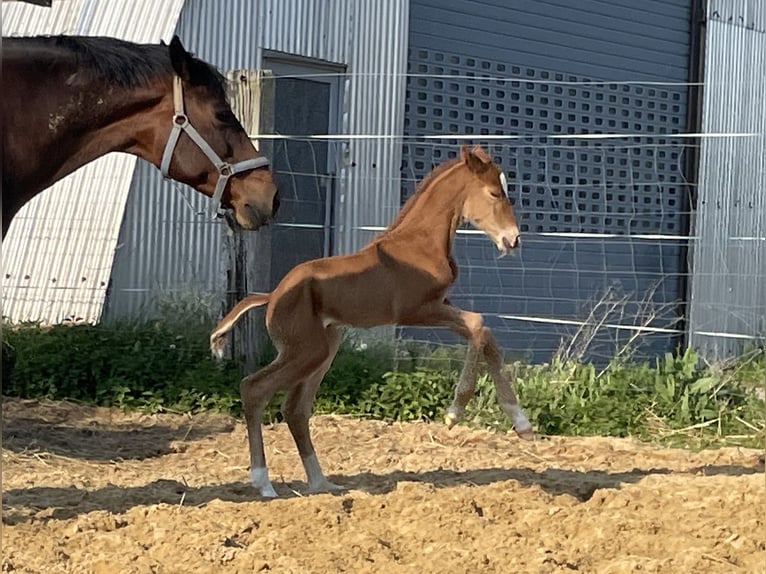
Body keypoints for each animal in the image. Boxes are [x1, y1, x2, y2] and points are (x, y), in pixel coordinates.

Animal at [210, 145, 536, 500]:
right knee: (254, 389)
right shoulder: (417, 310)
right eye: (494, 193)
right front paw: (454, 412)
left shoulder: (440, 306)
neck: (418, 242)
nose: (513, 240)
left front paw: (521, 423)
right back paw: (264, 482)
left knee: (295, 408)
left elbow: (486, 334)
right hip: (305, 352)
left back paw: (322, 483)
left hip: (324, 349)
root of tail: (272, 295)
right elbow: (479, 325)